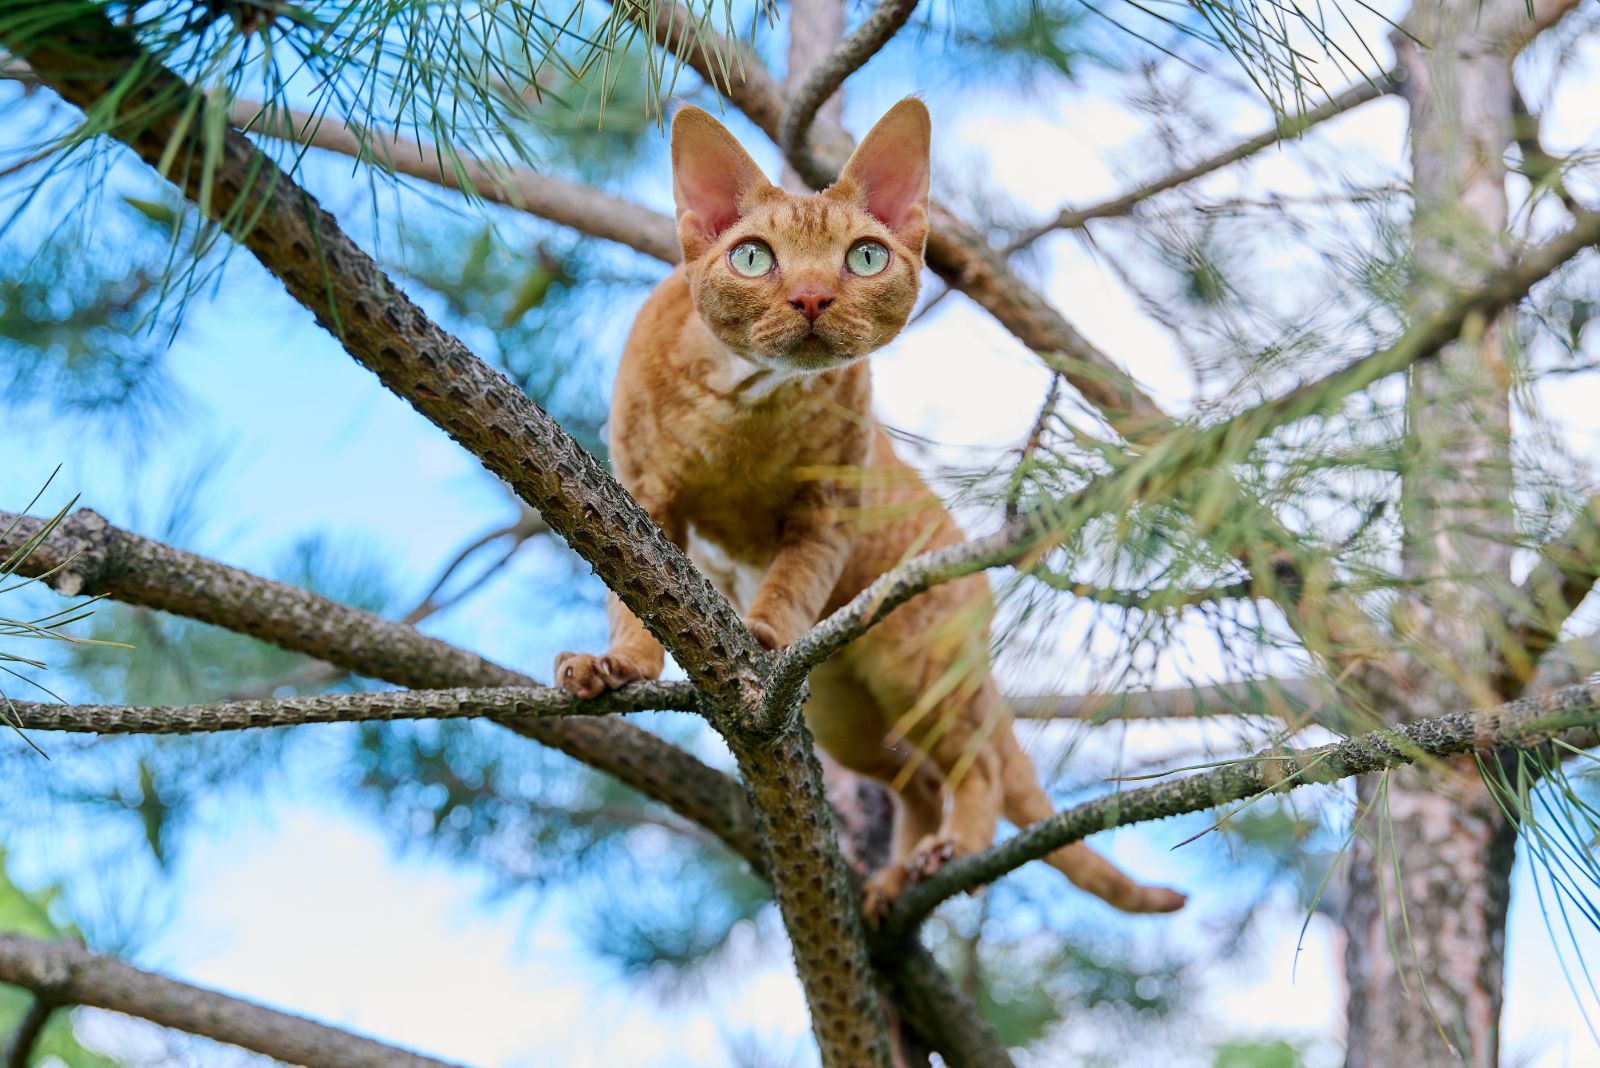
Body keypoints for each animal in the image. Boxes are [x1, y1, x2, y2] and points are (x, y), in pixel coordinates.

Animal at [556, 99, 1184, 914]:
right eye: (753, 258)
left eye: (864, 258)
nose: (811, 297)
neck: (744, 413)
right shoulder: (643, 499)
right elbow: (631, 600)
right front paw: (618, 665)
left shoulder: (827, 509)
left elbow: (791, 585)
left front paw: (759, 637)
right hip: (845, 717)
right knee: (918, 781)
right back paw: (894, 881)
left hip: (922, 669)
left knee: (974, 768)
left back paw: (953, 851)